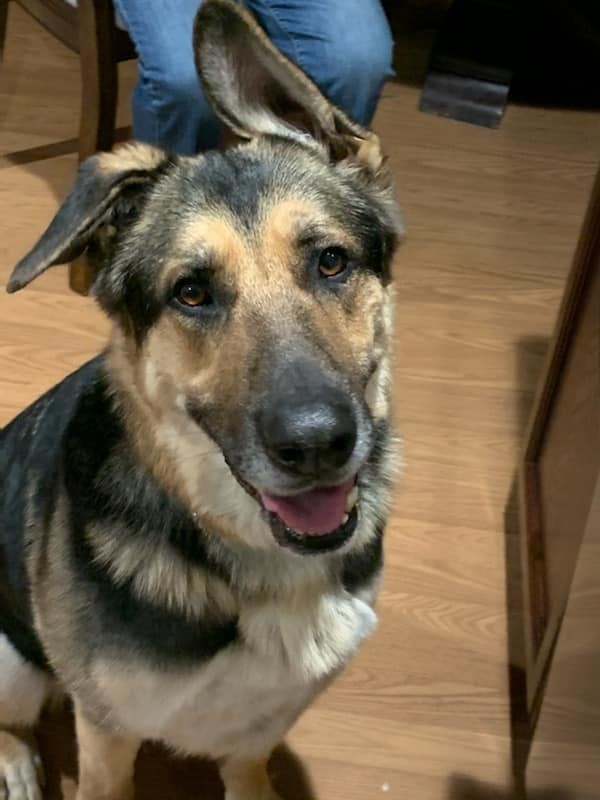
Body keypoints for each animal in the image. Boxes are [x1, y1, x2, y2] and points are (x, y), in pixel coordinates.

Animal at [0, 3, 404, 796]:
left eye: (331, 261)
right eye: (191, 293)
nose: (317, 445)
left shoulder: (265, 722)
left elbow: (248, 769)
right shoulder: (107, 732)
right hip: (10, 659)